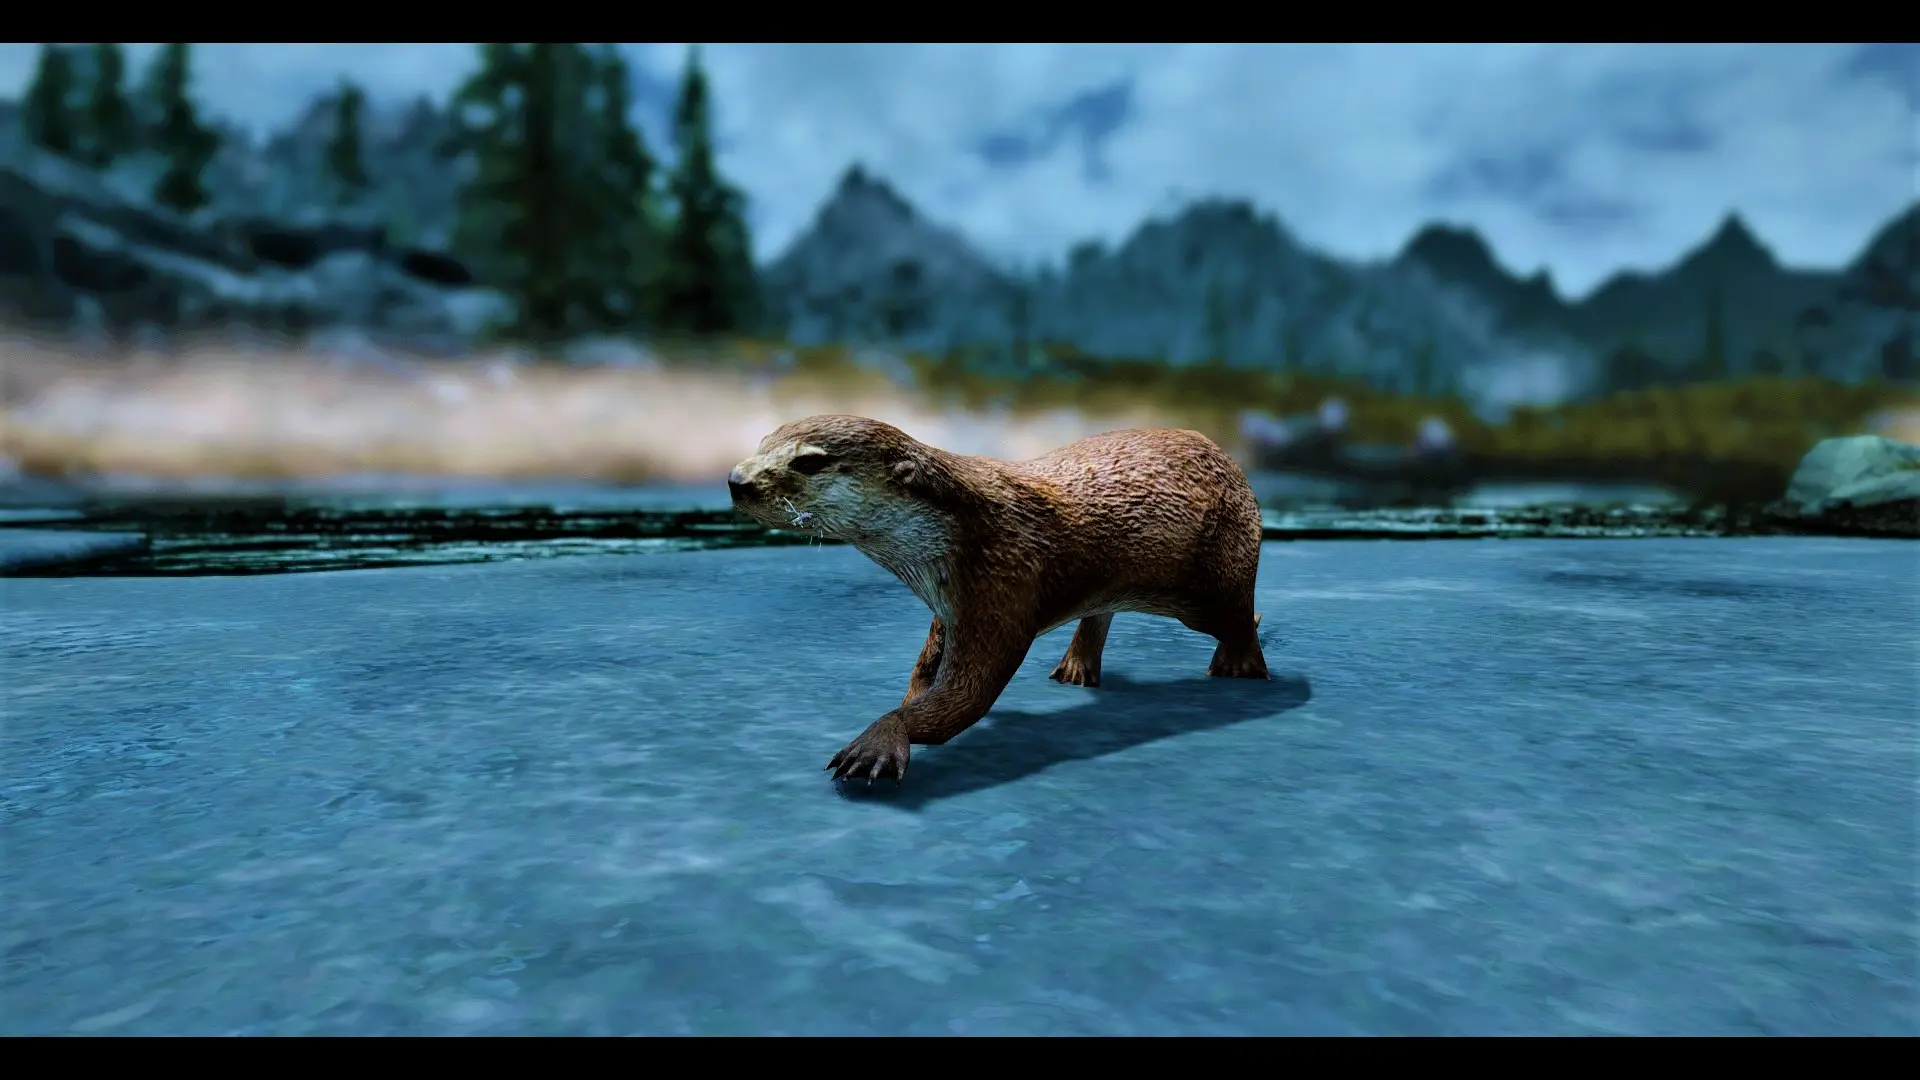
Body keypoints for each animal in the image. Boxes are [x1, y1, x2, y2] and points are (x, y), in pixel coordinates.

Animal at [729, 414, 1269, 784]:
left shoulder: (1001, 586)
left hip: (1216, 576)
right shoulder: (948, 605)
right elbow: (926, 664)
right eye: (761, 443)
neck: (959, 532)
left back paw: (1239, 667)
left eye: (808, 461)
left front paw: (879, 739)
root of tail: (1231, 460)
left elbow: (967, 693)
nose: (737, 480)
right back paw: (1075, 669)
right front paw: (910, 696)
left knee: (1241, 615)